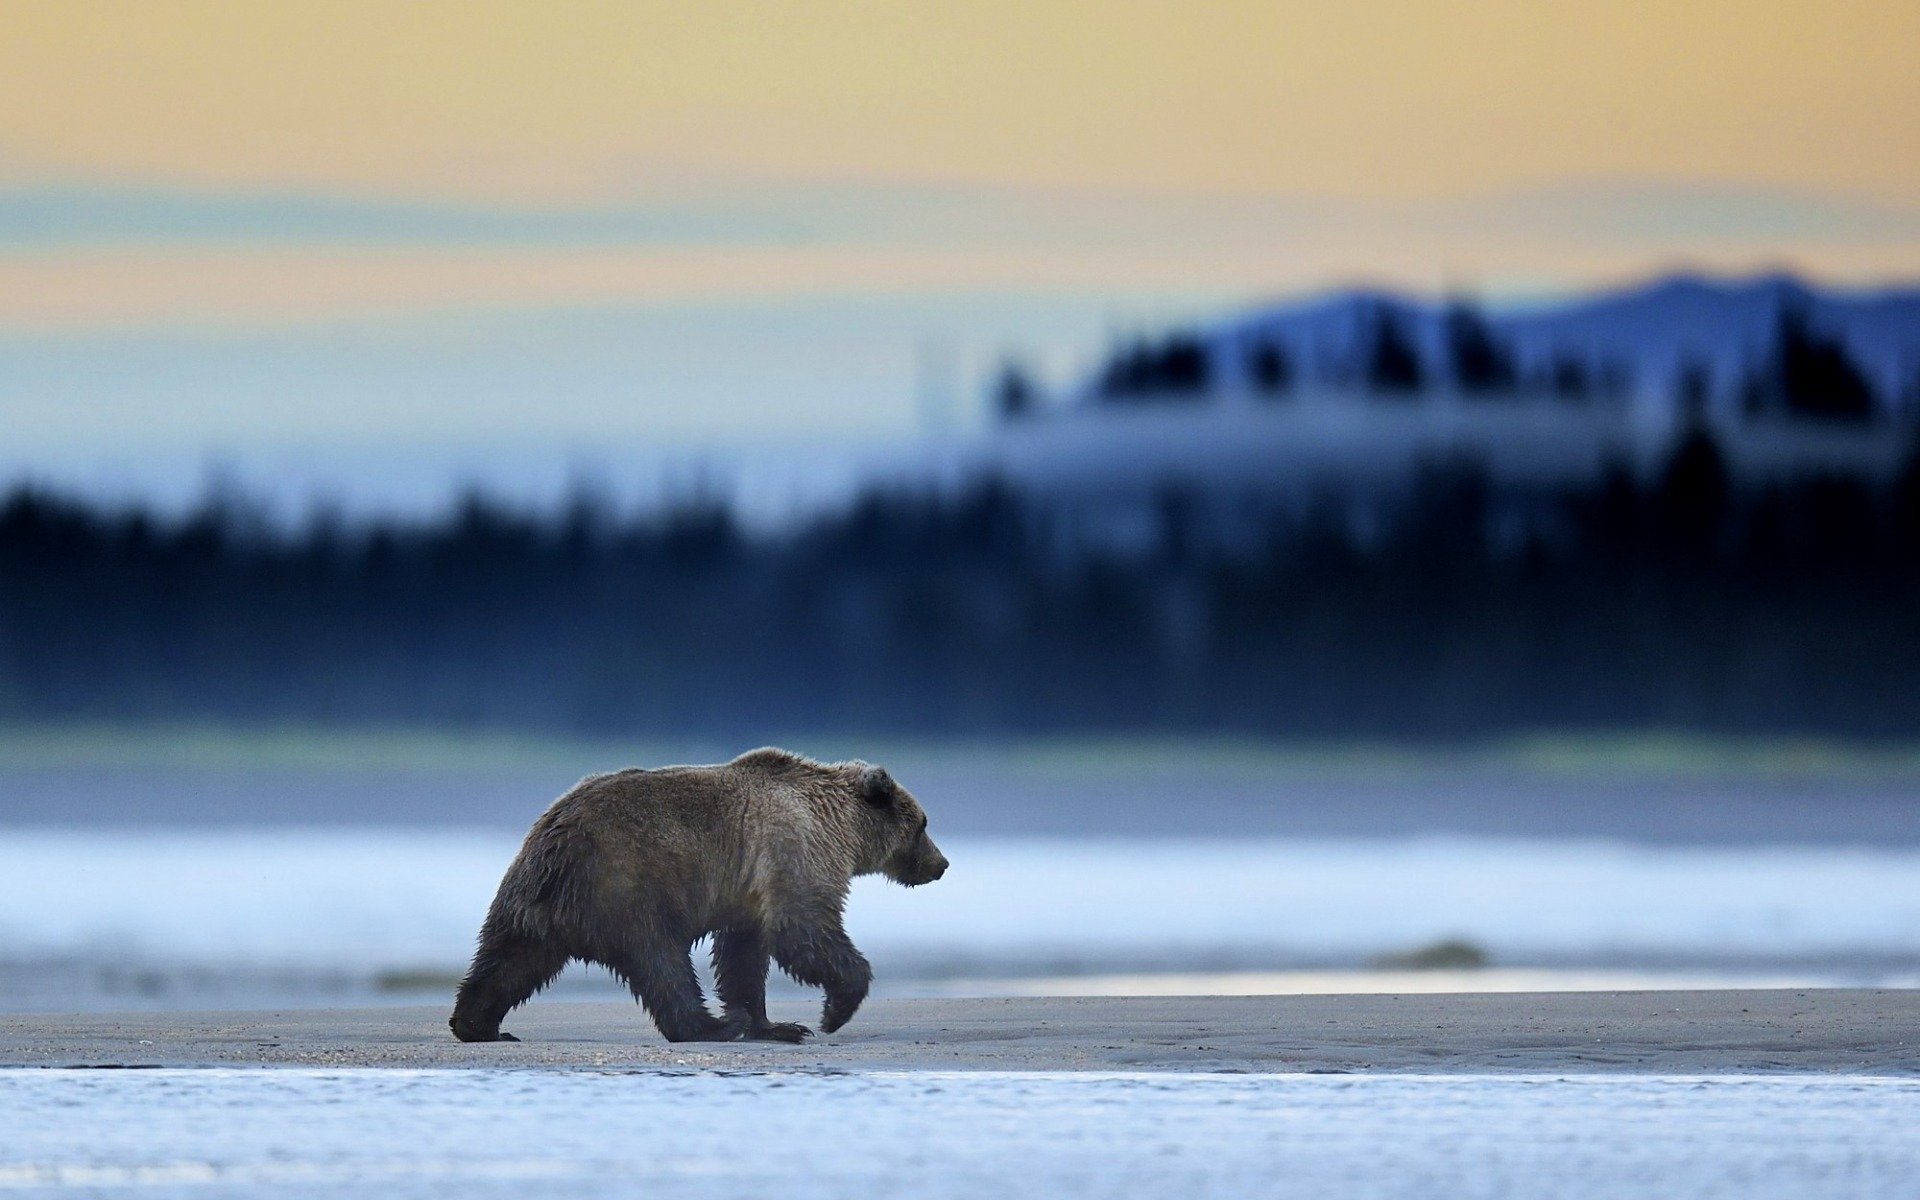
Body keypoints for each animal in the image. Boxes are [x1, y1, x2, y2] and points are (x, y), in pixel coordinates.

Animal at [443, 748, 952, 1036]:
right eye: (924, 823)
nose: (942, 864)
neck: (837, 824)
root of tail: (555, 838)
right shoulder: (792, 847)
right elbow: (802, 928)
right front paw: (831, 1012)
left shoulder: (749, 893)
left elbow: (745, 954)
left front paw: (777, 1024)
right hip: (628, 887)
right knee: (661, 962)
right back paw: (712, 1025)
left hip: (530, 900)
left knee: (508, 960)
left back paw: (477, 1024)